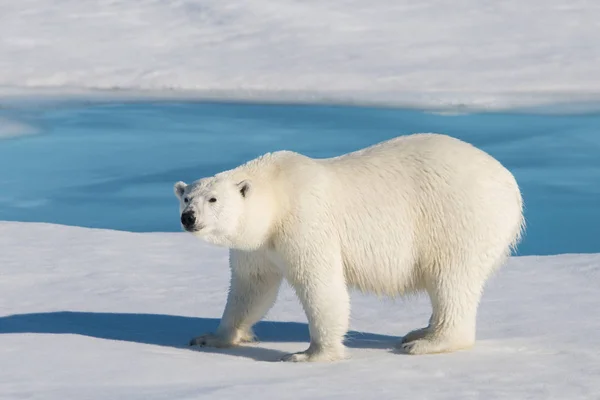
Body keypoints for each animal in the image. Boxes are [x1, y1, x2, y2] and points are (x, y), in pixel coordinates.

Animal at [173, 134, 524, 362]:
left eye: (213, 199)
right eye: (186, 197)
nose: (188, 217)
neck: (277, 192)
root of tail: (510, 183)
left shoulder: (304, 221)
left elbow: (320, 285)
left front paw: (310, 354)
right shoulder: (258, 245)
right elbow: (251, 287)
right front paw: (211, 337)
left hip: (458, 218)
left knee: (451, 278)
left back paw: (427, 343)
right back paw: (419, 332)